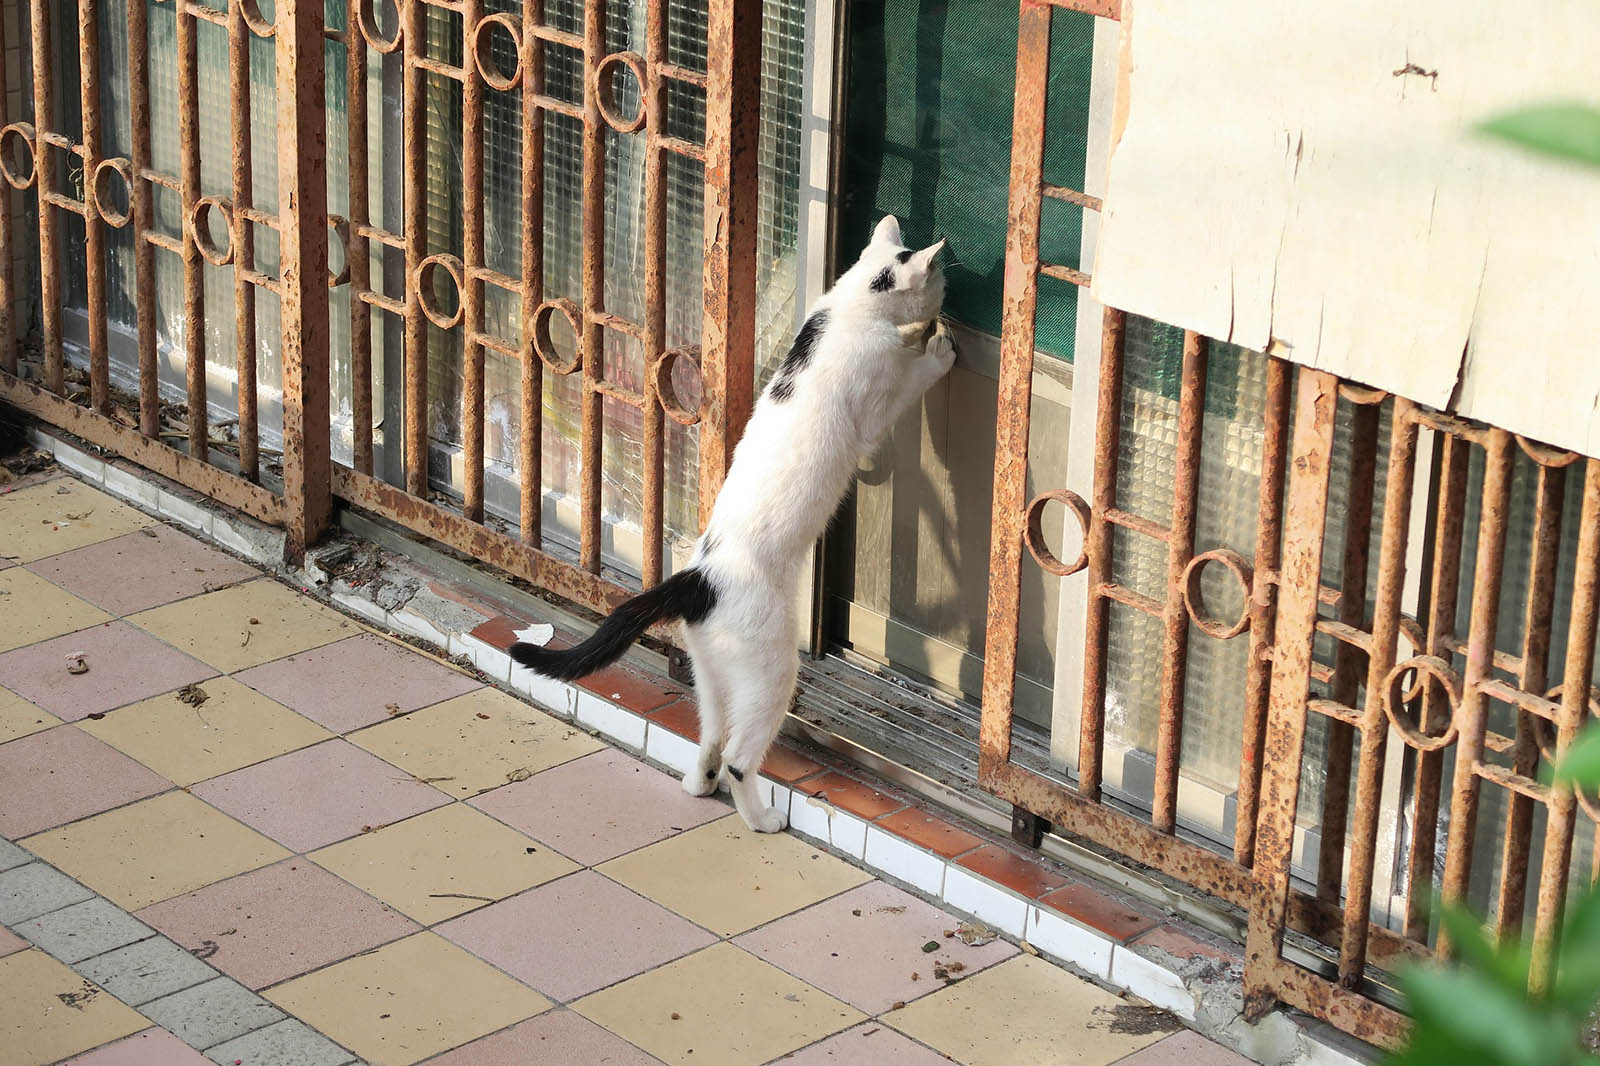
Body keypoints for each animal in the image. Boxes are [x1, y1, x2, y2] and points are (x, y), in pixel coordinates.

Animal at [512, 216, 947, 832]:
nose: (949, 295)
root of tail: (697, 579)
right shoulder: (877, 399)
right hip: (770, 670)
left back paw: (700, 783)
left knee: (712, 735)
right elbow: (910, 382)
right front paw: (938, 346)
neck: (845, 310)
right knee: (742, 756)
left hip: (712, 673)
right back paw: (762, 819)